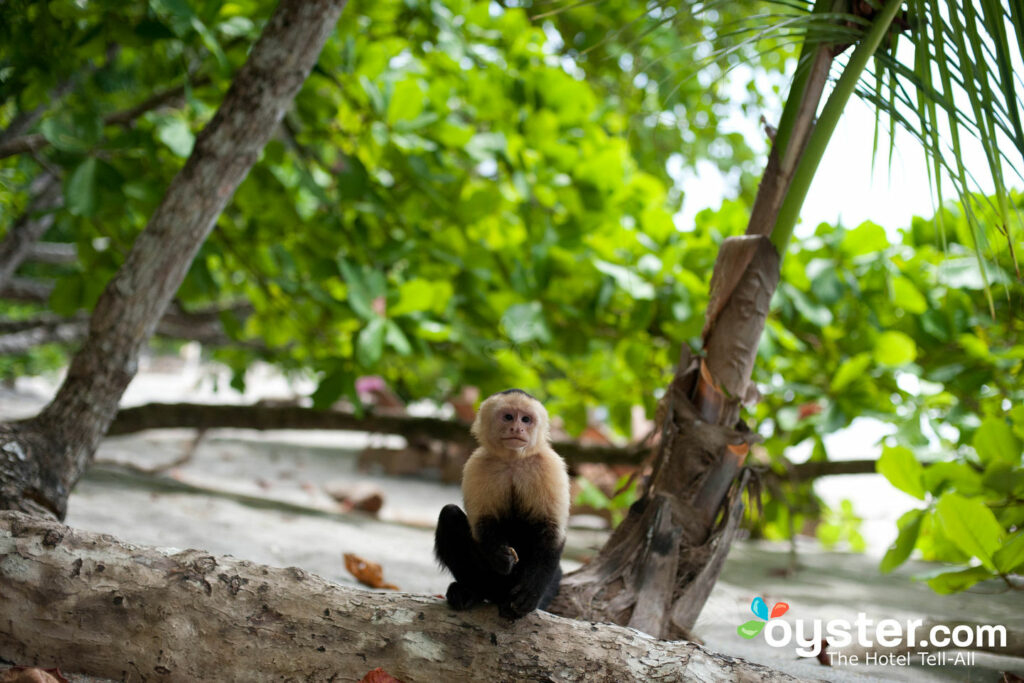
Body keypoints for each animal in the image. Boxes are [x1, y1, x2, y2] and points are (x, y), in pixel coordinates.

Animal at [434, 389, 573, 618]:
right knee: (450, 514)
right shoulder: (477, 464)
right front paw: (500, 555)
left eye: (526, 419)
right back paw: (470, 591)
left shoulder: (550, 465)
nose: (517, 428)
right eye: (508, 417)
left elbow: (551, 532)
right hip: (493, 582)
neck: (513, 461)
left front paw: (530, 594)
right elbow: (482, 524)